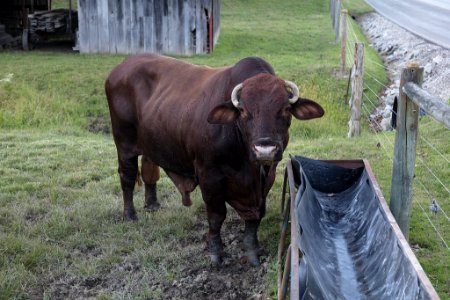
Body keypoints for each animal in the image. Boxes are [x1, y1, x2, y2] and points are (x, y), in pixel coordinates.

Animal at [105, 54, 324, 264]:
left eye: (285, 109)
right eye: (243, 111)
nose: (265, 149)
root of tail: (121, 67)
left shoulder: (267, 176)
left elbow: (256, 216)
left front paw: (252, 250)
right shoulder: (209, 175)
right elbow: (217, 215)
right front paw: (215, 251)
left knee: (149, 169)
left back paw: (152, 204)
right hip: (124, 143)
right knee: (127, 177)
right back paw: (130, 215)